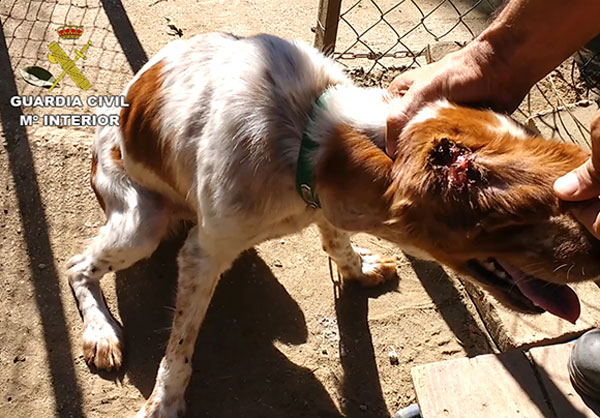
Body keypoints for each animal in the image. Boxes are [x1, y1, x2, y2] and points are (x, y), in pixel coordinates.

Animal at [65, 31, 600, 414]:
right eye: (531, 210)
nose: (599, 249)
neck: (305, 135)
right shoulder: (203, 252)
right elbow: (180, 343)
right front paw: (166, 401)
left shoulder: (320, 202)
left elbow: (336, 239)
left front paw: (358, 268)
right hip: (142, 226)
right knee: (77, 266)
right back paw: (102, 334)